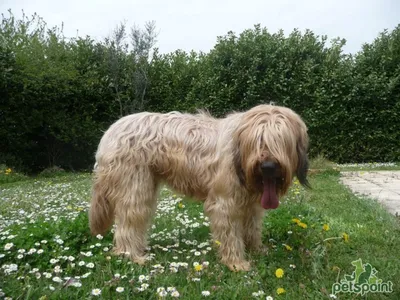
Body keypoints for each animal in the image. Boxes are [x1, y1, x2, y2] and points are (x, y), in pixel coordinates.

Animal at [89, 103, 310, 272]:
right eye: (259, 140)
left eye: (281, 140)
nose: (268, 166)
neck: (240, 154)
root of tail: (109, 133)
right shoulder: (225, 203)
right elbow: (230, 234)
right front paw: (236, 263)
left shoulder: (252, 204)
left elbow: (252, 227)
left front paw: (256, 249)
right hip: (135, 185)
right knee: (130, 220)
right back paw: (132, 255)